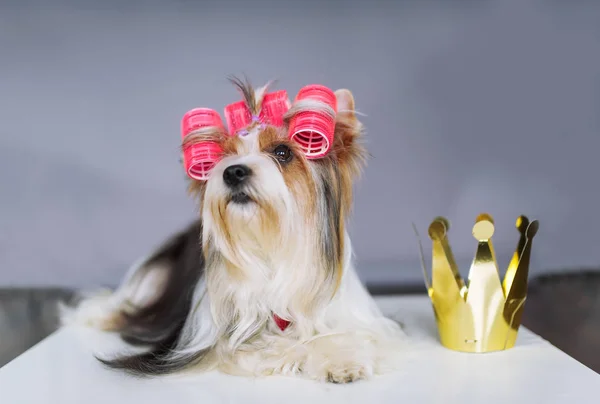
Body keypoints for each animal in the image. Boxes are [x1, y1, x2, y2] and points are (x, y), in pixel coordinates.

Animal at [61, 77, 406, 384]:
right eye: (225, 156)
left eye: (283, 152)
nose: (233, 171)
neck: (272, 245)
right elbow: (255, 347)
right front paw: (294, 351)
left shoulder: (361, 321)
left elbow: (351, 336)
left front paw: (341, 360)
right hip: (150, 280)